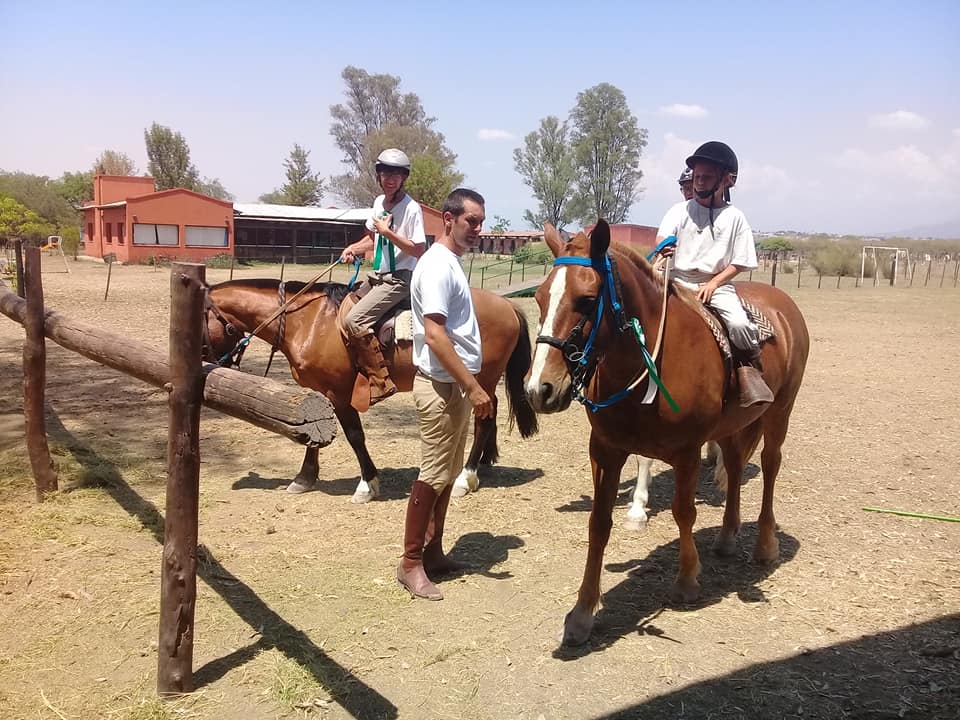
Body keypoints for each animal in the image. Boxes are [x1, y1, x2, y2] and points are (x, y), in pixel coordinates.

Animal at [205, 278, 536, 504]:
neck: (308, 321)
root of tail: (507, 305)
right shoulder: (317, 391)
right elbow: (310, 432)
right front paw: (304, 478)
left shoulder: (339, 394)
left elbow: (355, 436)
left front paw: (367, 484)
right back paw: (483, 462)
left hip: (483, 378)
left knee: (483, 421)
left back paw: (466, 478)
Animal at [524, 221, 808, 648]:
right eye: (540, 297)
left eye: (587, 300)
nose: (539, 389)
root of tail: (782, 303)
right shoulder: (605, 450)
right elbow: (598, 524)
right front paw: (582, 613)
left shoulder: (688, 451)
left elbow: (683, 512)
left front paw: (687, 580)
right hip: (733, 426)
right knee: (735, 466)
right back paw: (727, 537)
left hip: (779, 413)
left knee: (770, 466)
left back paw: (765, 544)